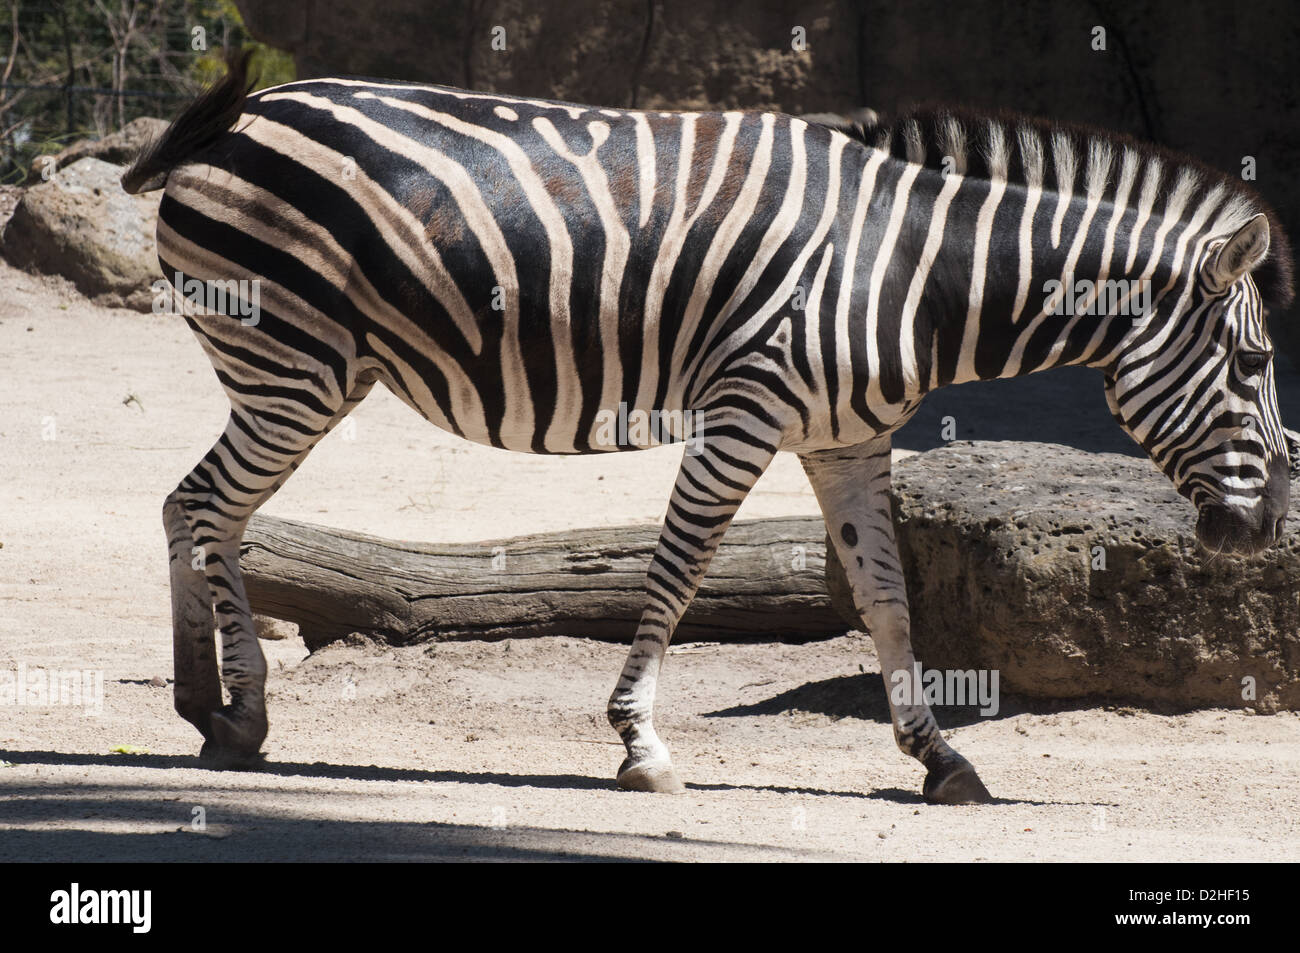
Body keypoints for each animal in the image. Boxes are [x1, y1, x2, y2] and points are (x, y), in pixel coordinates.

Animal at [124, 54, 1293, 804]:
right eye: (1254, 363)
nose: (1268, 528)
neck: (913, 276)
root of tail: (238, 114)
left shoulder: (846, 438)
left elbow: (888, 596)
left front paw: (938, 758)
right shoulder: (746, 409)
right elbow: (679, 570)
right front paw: (639, 744)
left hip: (298, 373)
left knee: (195, 510)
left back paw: (211, 709)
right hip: (295, 364)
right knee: (204, 508)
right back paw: (234, 713)